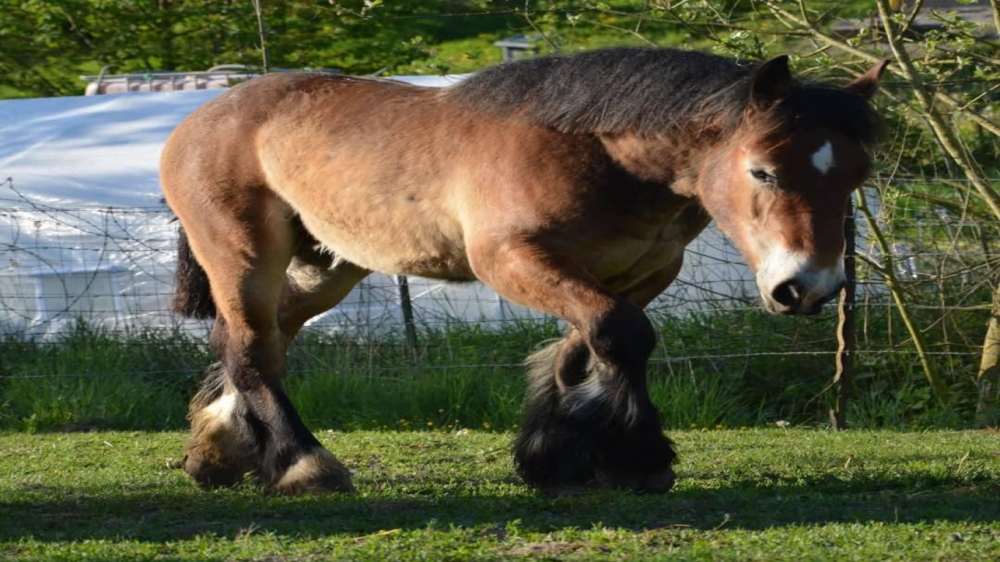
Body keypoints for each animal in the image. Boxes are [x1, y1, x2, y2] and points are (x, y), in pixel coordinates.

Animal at [160, 47, 887, 495]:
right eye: (762, 171)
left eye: (856, 176)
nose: (809, 287)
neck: (597, 153)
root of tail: (198, 122)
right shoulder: (514, 260)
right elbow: (620, 336)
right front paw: (640, 458)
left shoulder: (637, 273)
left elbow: (583, 350)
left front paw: (553, 455)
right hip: (245, 254)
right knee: (255, 349)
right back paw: (305, 464)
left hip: (326, 267)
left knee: (252, 341)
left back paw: (218, 450)